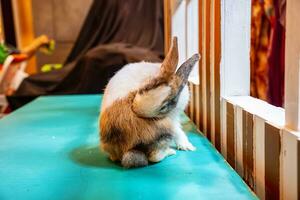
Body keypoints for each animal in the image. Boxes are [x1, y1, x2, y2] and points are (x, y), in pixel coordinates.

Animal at [99, 36, 200, 168]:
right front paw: (188, 147)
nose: (136, 108)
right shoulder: (173, 119)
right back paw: (170, 152)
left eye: (164, 106)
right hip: (164, 131)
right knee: (154, 156)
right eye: (146, 87)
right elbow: (179, 132)